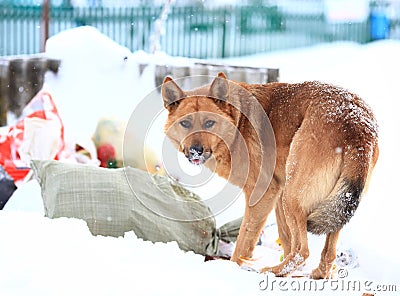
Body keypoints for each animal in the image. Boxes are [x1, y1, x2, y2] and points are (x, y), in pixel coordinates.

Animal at [162, 73, 378, 278]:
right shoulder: (276, 194)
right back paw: (313, 273)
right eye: (185, 123)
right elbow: (285, 238)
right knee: (326, 253)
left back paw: (273, 271)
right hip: (326, 202)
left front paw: (232, 268)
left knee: (302, 251)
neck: (238, 123)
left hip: (292, 198)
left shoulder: (262, 194)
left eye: (209, 123)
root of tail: (356, 126)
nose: (195, 151)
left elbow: (244, 240)